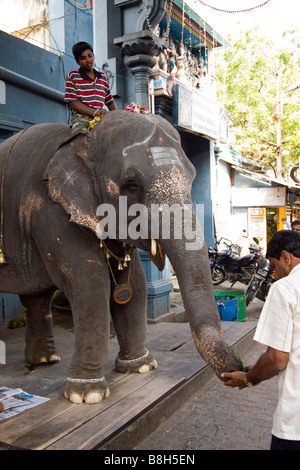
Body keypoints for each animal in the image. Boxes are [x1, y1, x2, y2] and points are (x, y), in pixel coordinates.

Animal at [0, 110, 240, 404]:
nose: (240, 372)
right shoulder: (49, 210)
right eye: (132, 185)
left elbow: (135, 281)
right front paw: (87, 394)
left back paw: (45, 360)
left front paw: (141, 367)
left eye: (193, 178)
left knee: (35, 296)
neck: (83, 141)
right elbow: (90, 281)